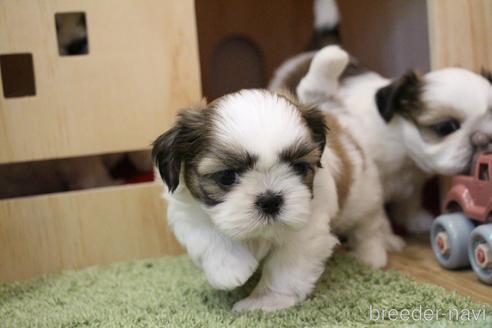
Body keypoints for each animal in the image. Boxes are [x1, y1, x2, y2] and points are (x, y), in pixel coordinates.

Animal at [152, 89, 402, 312]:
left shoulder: (308, 227)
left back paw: (372, 254)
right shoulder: (187, 210)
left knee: (369, 224)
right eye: (226, 177)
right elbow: (207, 234)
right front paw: (231, 269)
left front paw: (265, 301)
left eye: (299, 167)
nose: (270, 200)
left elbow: (286, 266)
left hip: (364, 193)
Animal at [280, 45, 492, 233]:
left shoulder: (413, 180)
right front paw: (389, 238)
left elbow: (411, 198)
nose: (482, 139)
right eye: (446, 127)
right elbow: (378, 214)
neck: (399, 142)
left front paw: (413, 219)